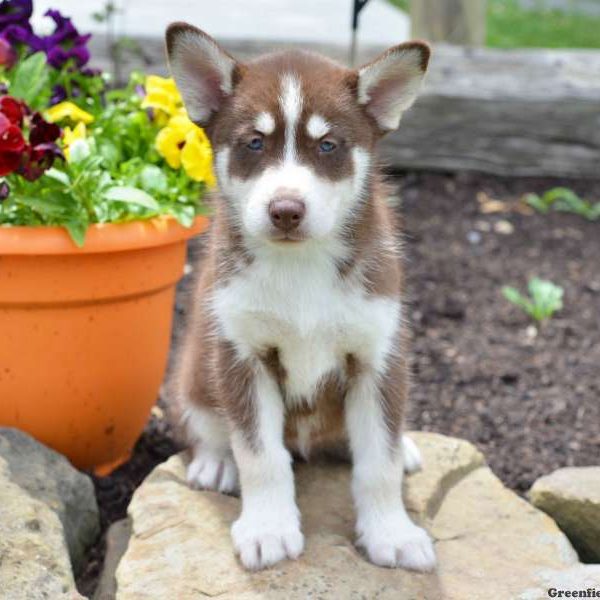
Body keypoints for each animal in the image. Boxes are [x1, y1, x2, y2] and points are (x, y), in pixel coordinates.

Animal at [166, 23, 434, 572]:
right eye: (254, 142)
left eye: (327, 145)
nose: (286, 209)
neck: (301, 268)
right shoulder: (242, 356)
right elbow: (261, 457)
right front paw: (268, 528)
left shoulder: (379, 356)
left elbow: (379, 461)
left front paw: (392, 532)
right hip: (193, 375)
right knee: (205, 427)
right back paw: (214, 462)